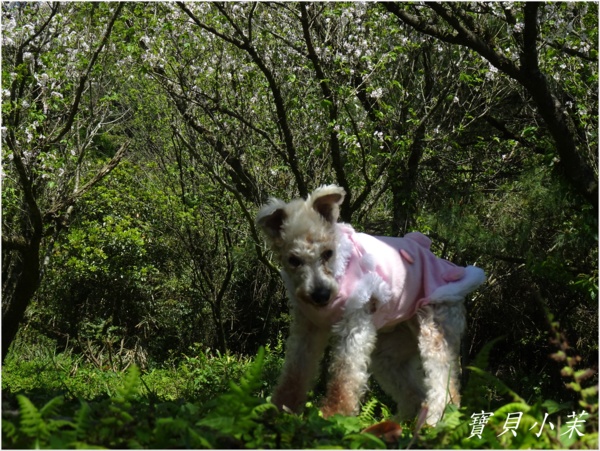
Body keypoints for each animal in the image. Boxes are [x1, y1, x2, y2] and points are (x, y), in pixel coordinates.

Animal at [256, 185, 485, 425]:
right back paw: (397, 425)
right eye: (293, 260)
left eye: (328, 253)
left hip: (435, 331)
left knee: (446, 390)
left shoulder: (355, 324)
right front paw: (279, 411)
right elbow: (295, 373)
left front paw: (333, 417)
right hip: (390, 354)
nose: (321, 295)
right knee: (415, 395)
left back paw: (431, 425)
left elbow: (345, 376)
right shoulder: (306, 328)